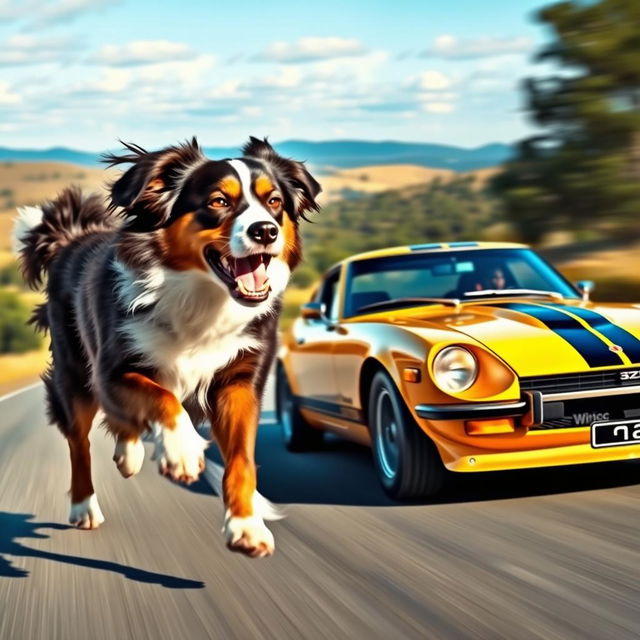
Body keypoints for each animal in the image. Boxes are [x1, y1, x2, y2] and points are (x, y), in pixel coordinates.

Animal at [10, 138, 320, 556]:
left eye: (273, 201)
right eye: (218, 201)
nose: (266, 231)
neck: (201, 297)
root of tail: (72, 237)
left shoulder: (240, 381)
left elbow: (241, 459)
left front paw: (246, 526)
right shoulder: (113, 369)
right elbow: (163, 398)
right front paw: (183, 452)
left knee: (121, 424)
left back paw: (129, 456)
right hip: (74, 375)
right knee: (79, 441)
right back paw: (84, 507)